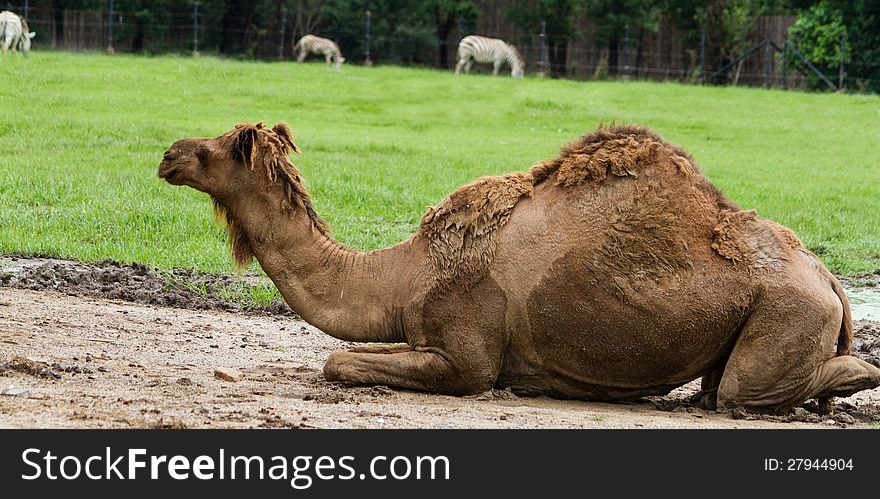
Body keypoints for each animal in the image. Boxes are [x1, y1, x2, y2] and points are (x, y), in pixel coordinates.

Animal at [158, 122, 880, 414]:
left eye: (215, 149)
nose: (168, 153)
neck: (406, 271)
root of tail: (831, 280)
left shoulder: (465, 353)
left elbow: (341, 361)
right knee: (717, 387)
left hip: (788, 311)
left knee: (741, 391)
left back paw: (847, 380)